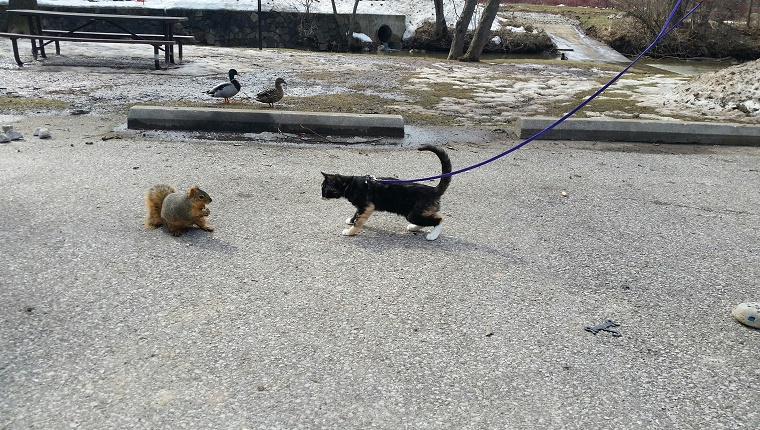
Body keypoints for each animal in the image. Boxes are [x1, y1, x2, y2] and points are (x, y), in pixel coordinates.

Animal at [320, 144, 452, 239]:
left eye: (323, 189)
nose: (321, 197)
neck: (351, 184)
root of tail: (433, 190)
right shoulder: (361, 207)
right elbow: (356, 214)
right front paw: (351, 220)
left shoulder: (367, 206)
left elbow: (358, 221)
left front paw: (349, 231)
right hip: (413, 213)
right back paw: (413, 227)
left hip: (415, 213)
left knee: (439, 219)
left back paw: (432, 235)